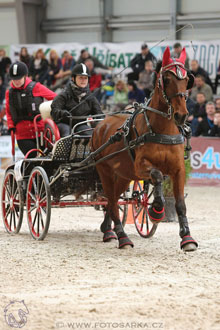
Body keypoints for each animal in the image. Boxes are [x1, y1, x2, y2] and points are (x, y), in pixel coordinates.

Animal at [91, 46, 198, 251]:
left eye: (187, 80)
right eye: (167, 79)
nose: (181, 115)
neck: (161, 130)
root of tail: (101, 123)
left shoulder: (178, 169)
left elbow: (180, 204)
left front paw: (187, 238)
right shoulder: (141, 166)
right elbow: (157, 176)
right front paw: (156, 209)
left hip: (123, 175)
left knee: (113, 199)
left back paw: (108, 230)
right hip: (105, 170)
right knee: (112, 201)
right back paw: (122, 237)